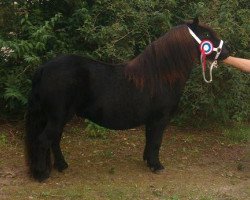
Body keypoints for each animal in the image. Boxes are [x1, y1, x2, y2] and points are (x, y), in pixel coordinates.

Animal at [25, 18, 230, 181]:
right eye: (206, 34)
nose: (227, 50)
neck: (160, 75)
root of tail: (44, 68)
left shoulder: (151, 120)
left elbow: (150, 140)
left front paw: (148, 161)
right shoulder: (160, 119)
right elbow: (156, 141)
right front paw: (157, 166)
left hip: (60, 117)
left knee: (54, 140)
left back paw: (61, 166)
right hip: (58, 117)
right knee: (44, 140)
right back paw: (42, 174)